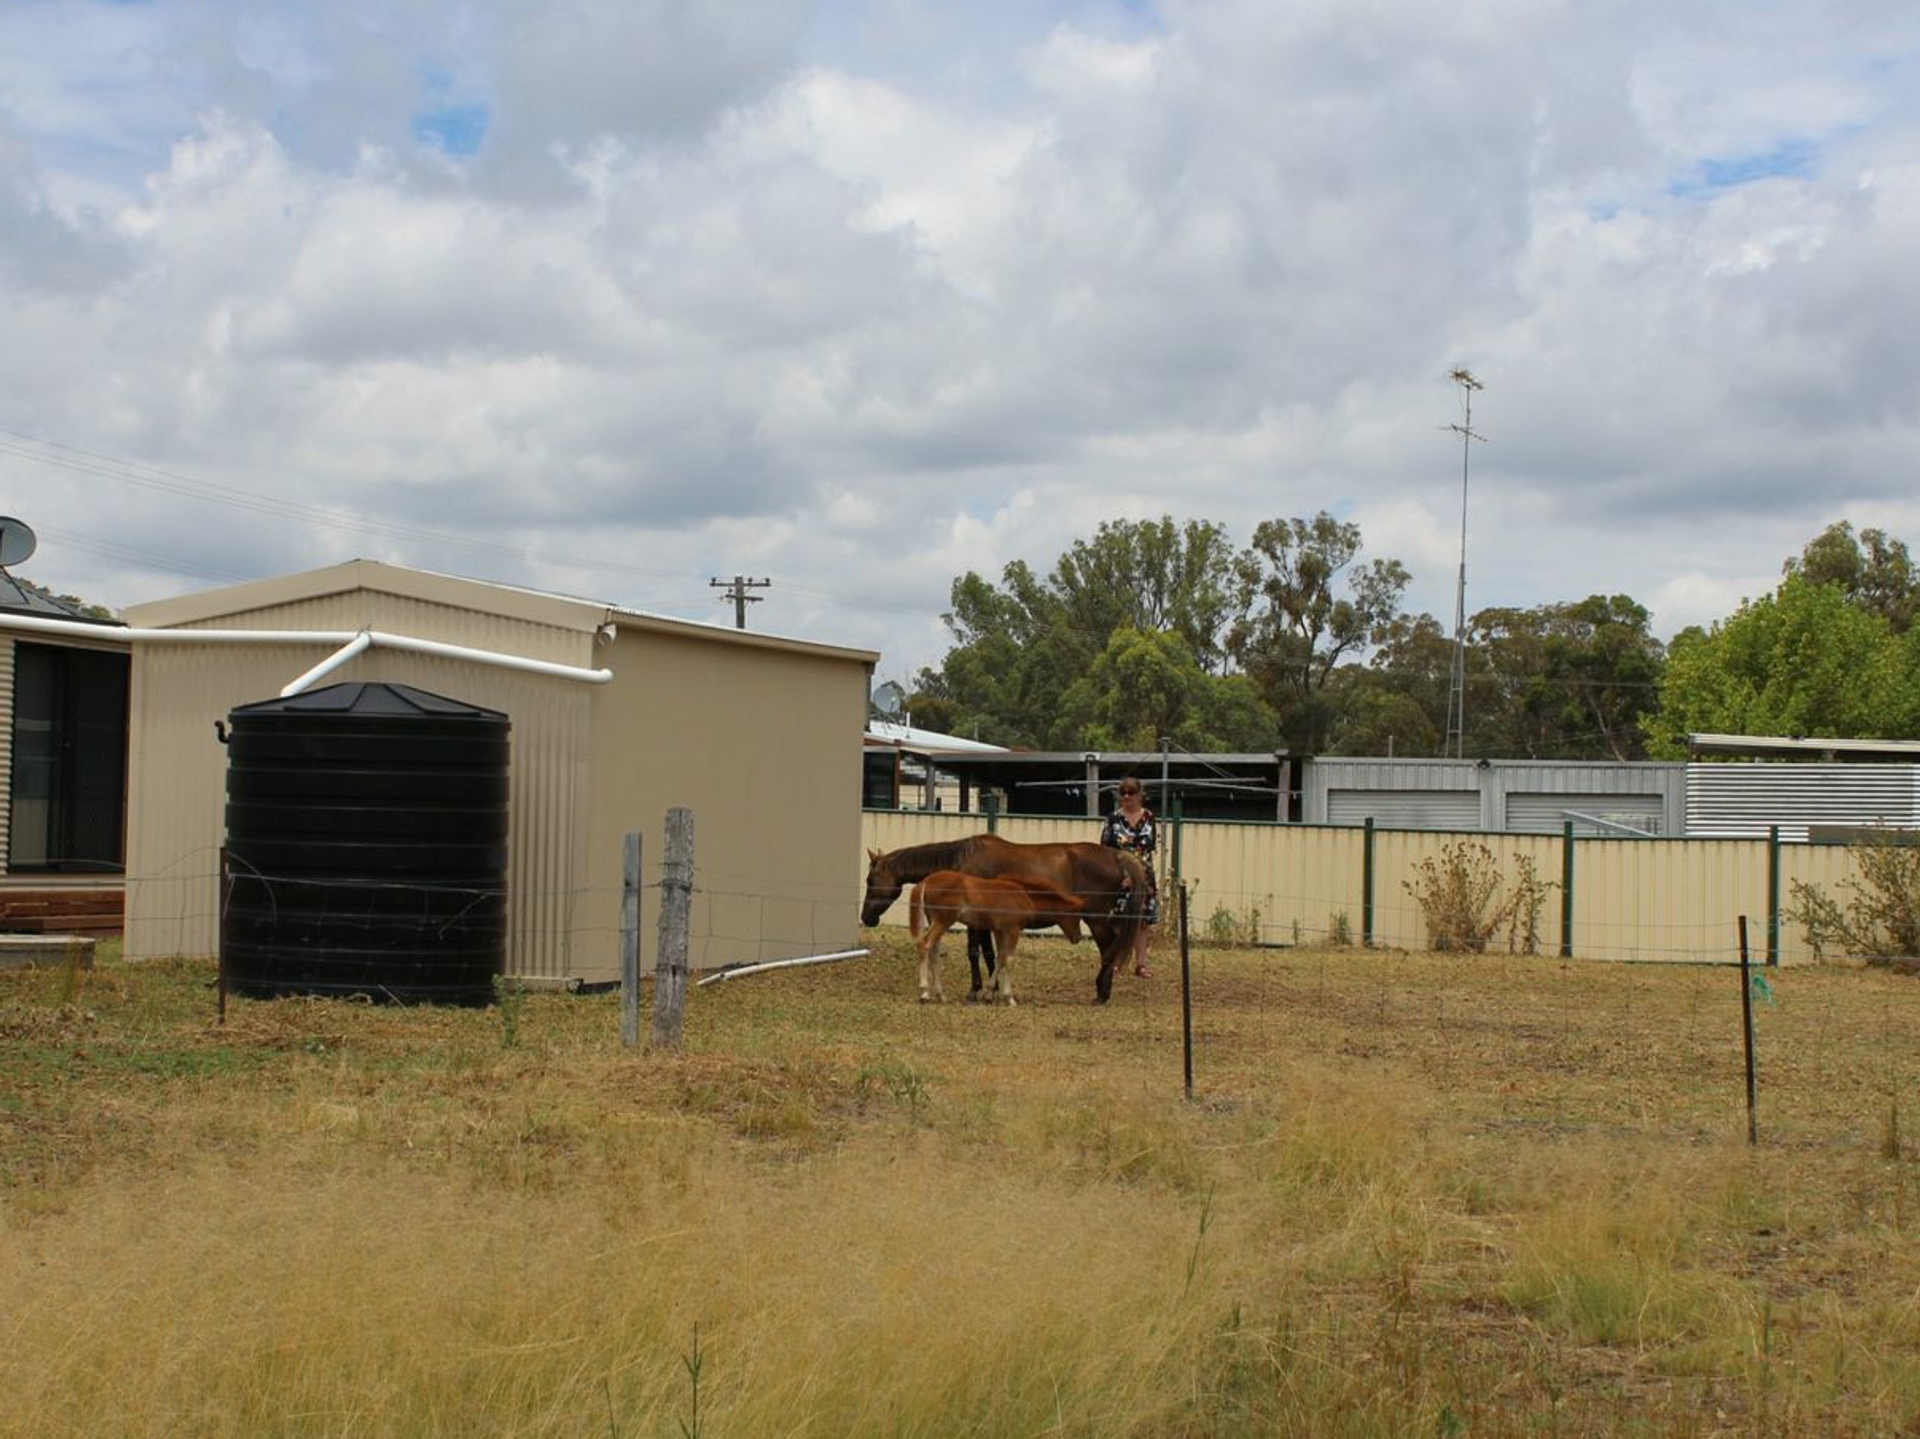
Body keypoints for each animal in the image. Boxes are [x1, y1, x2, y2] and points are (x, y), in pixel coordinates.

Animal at [910, 868, 1090, 1006]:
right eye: (1077, 916)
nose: (1078, 937)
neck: (1025, 895)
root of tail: (926, 881)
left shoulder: (998, 930)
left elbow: (1000, 958)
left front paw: (989, 994)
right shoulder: (1012, 930)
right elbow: (1009, 959)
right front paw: (1009, 998)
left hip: (935, 920)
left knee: (933, 952)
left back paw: (941, 995)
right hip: (943, 921)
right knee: (924, 945)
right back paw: (924, 993)